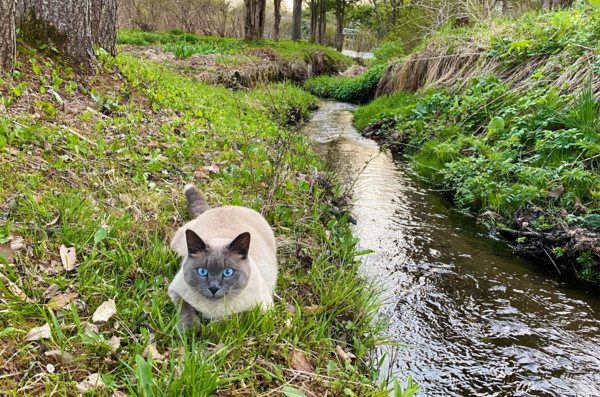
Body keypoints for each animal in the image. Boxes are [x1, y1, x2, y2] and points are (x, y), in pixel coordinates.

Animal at [168, 184, 278, 330]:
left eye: (228, 272)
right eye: (202, 271)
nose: (213, 288)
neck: (212, 309)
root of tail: (218, 208)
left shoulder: (263, 312)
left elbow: (232, 319)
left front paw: (209, 329)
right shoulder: (176, 292)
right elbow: (186, 308)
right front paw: (191, 330)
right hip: (177, 247)